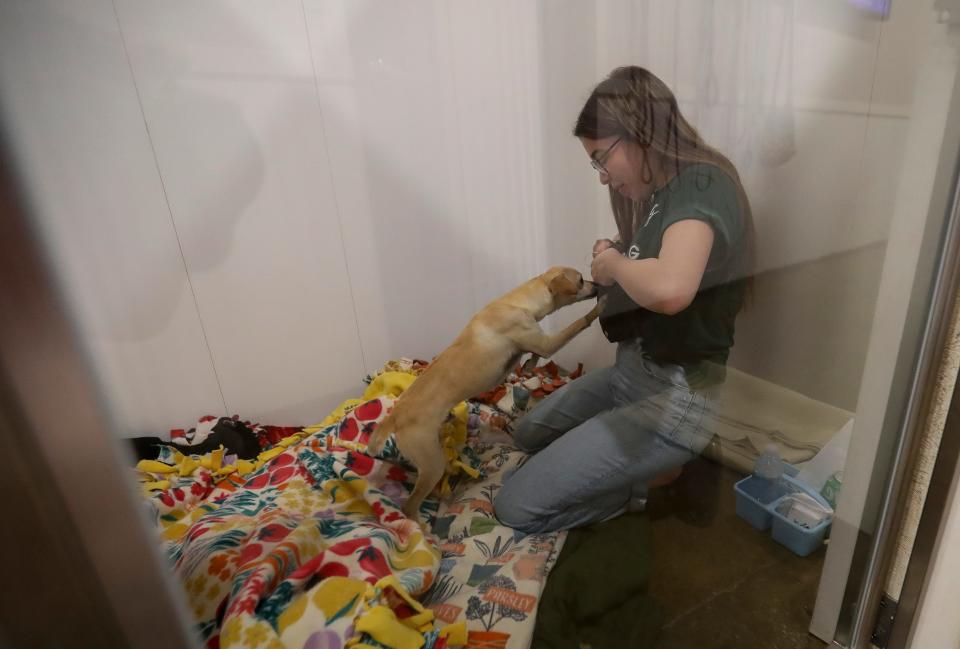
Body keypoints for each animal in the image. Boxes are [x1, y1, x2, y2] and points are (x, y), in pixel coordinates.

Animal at [372, 266, 604, 524]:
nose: (599, 286)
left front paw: (530, 364)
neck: (517, 302)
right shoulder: (547, 344)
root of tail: (395, 416)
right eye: (581, 280)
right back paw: (424, 532)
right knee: (410, 506)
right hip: (432, 464)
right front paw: (600, 308)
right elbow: (577, 324)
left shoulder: (534, 346)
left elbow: (530, 356)